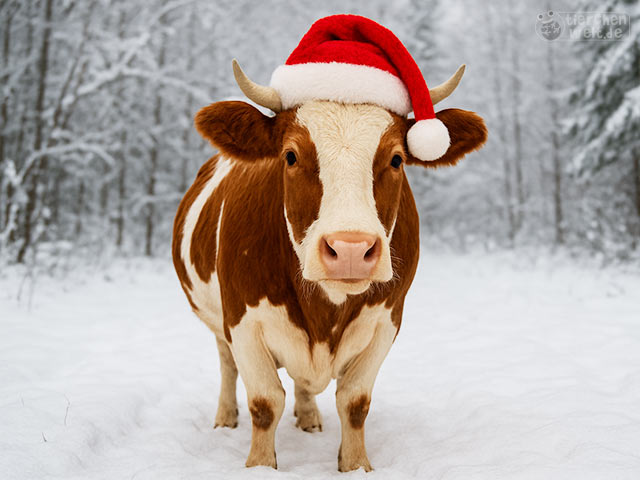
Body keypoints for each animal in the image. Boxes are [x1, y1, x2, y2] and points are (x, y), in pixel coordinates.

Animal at [172, 15, 487, 472]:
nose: (351, 249)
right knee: (227, 365)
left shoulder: (386, 322)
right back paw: (225, 417)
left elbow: (354, 402)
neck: (325, 311)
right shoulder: (243, 321)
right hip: (215, 318)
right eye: (289, 155)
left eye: (396, 159)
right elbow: (264, 402)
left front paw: (356, 466)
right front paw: (259, 466)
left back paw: (308, 417)